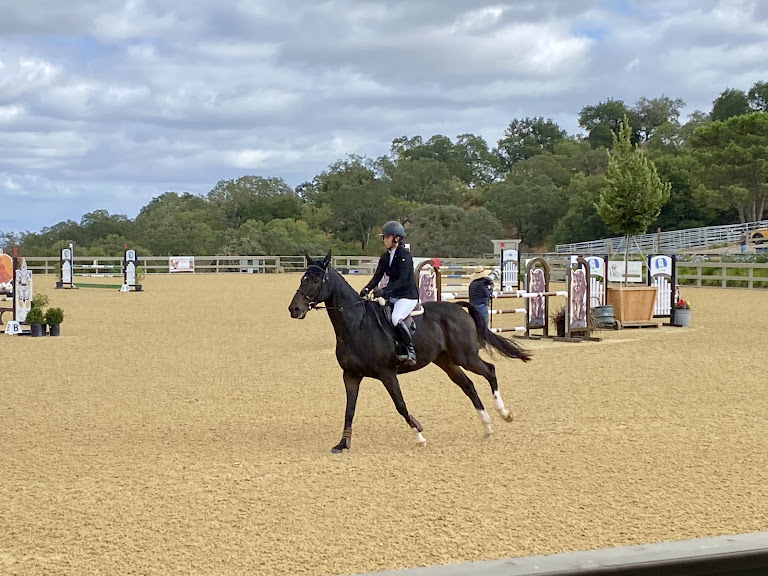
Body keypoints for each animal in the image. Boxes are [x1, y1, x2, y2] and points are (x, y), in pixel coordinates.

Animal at [288, 252, 531, 453]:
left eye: (316, 280)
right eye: (302, 279)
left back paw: (504, 413)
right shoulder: (351, 375)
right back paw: (487, 425)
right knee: (468, 385)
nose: (294, 309)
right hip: (445, 361)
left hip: (465, 356)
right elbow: (349, 409)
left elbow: (400, 405)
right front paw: (343, 444)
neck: (356, 324)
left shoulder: (387, 374)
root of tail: (457, 307)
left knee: (489, 371)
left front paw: (419, 435)